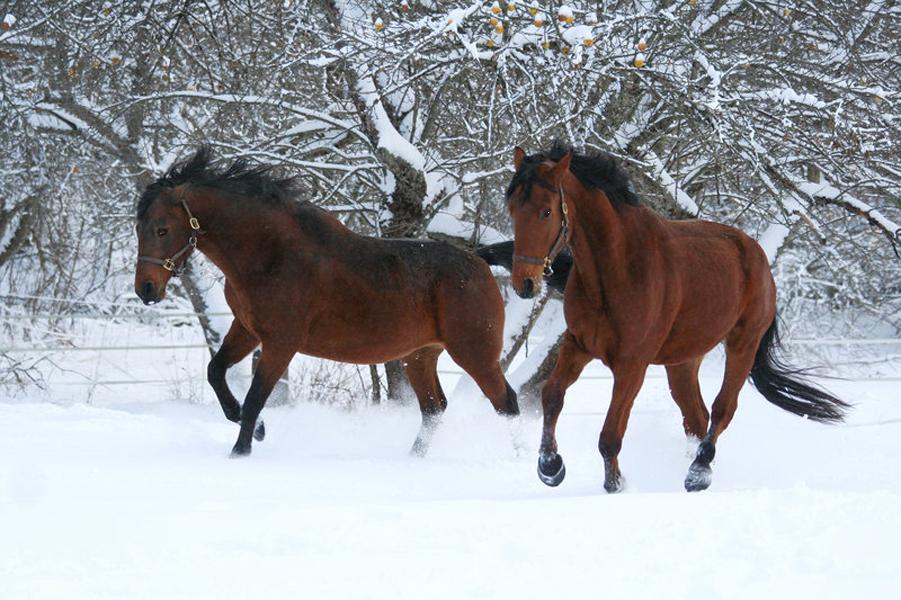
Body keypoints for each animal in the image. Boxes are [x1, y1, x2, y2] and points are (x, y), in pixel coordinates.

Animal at [130, 148, 516, 458]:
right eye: (139, 229)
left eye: (162, 229)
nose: (146, 289)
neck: (271, 255)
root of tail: (479, 261)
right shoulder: (247, 330)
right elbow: (216, 372)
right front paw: (254, 428)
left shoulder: (281, 343)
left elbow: (255, 397)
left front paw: (241, 451)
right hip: (420, 356)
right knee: (434, 409)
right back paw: (413, 460)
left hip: (475, 354)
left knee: (506, 404)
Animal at [510, 144, 848, 492]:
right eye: (512, 209)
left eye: (546, 212)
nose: (525, 283)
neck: (616, 270)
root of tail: (757, 256)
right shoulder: (577, 346)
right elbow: (552, 396)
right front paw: (551, 467)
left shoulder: (632, 365)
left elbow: (610, 434)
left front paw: (615, 484)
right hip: (683, 362)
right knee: (697, 417)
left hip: (743, 345)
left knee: (722, 409)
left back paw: (698, 471)